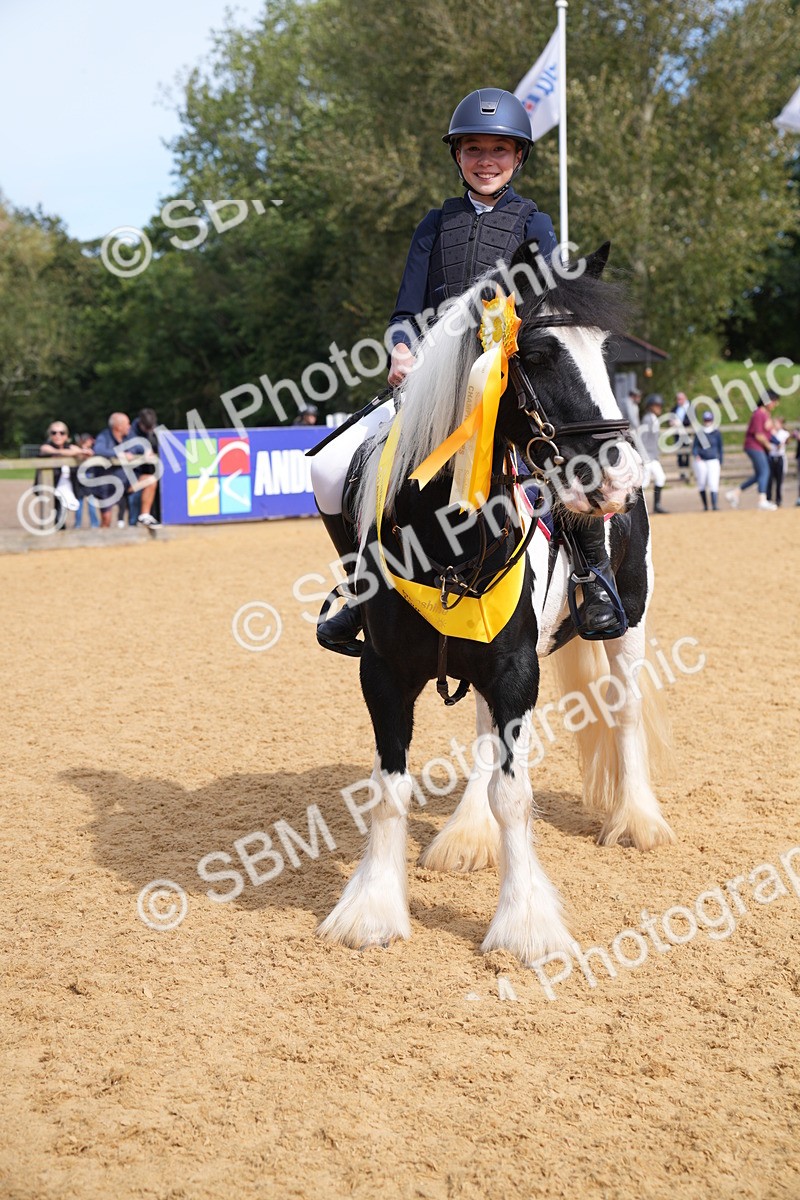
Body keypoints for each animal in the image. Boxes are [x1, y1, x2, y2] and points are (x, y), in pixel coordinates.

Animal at [317, 240, 675, 967]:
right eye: (535, 354)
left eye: (605, 349)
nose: (618, 475)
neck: (447, 540)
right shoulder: (385, 676)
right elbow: (390, 789)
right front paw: (371, 910)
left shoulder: (516, 670)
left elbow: (515, 794)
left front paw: (524, 925)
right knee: (483, 737)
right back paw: (466, 834)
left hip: (629, 623)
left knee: (624, 713)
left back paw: (636, 821)